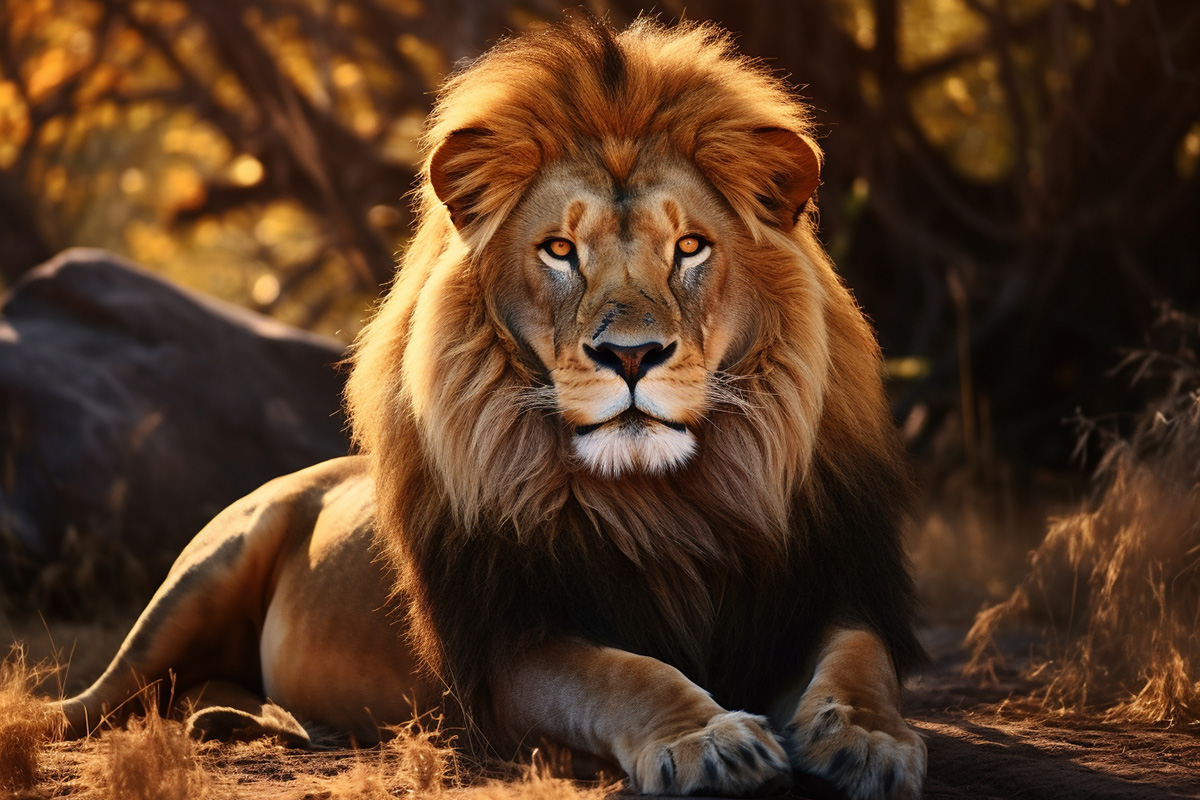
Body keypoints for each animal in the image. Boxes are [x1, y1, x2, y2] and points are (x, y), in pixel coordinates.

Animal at [54, 17, 926, 800]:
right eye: (560, 251)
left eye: (690, 248)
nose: (632, 356)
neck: (666, 501)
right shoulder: (513, 647)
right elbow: (625, 675)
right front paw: (709, 740)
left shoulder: (819, 591)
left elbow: (860, 661)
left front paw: (871, 741)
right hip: (202, 576)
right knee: (103, 699)